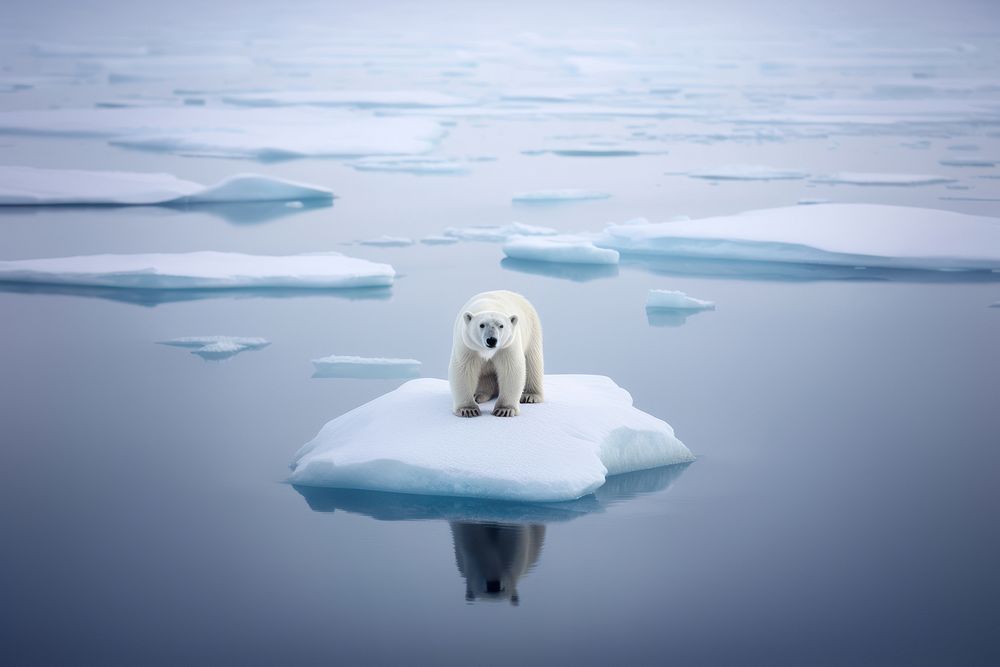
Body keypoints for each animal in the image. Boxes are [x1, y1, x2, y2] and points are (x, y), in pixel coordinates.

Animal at [450, 288, 544, 418]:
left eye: (501, 325)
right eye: (481, 325)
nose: (491, 340)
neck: (489, 305)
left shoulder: (507, 345)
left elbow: (510, 368)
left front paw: (504, 410)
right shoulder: (468, 345)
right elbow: (464, 369)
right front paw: (468, 410)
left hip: (532, 330)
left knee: (532, 362)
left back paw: (530, 395)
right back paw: (478, 395)